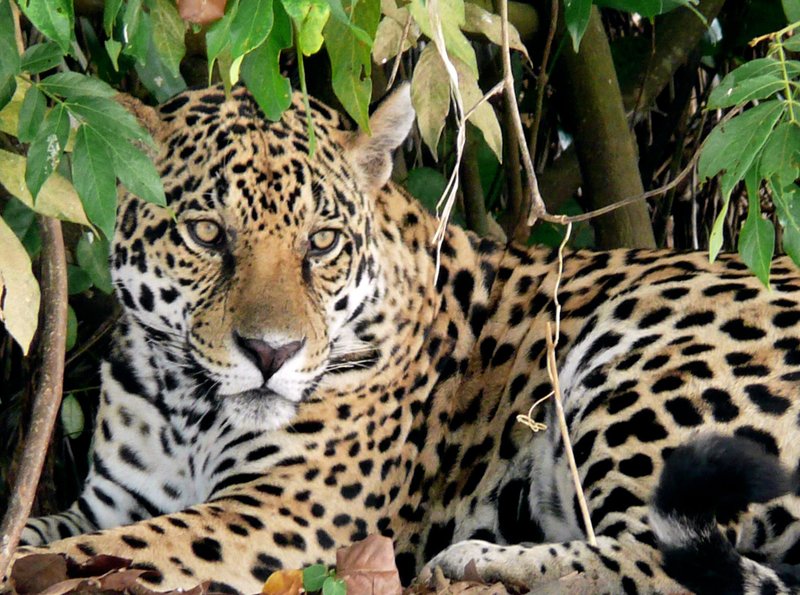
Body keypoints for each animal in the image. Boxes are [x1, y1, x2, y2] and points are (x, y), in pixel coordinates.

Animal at [9, 82, 800, 595]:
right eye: (206, 233)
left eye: (322, 242)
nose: (271, 354)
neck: (186, 403)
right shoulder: (108, 499)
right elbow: (50, 532)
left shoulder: (283, 510)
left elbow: (120, 548)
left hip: (648, 366)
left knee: (682, 562)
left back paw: (484, 562)